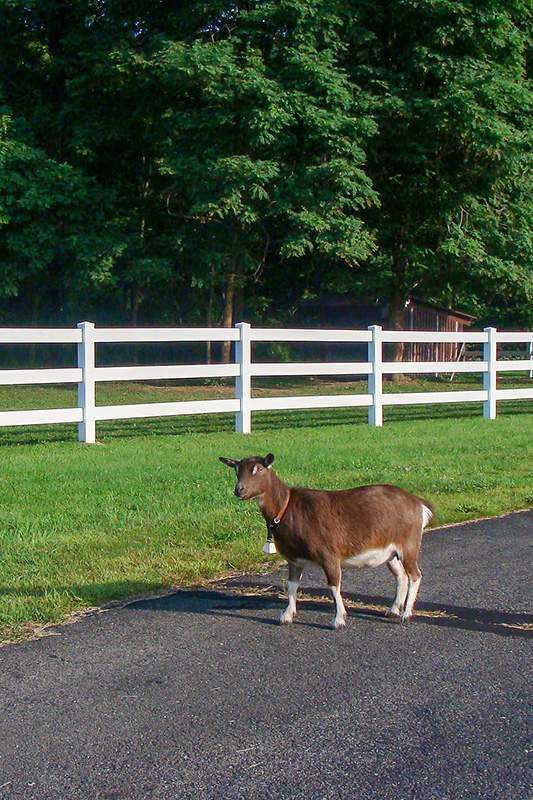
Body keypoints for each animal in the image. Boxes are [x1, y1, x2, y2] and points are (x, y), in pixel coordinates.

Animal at [220, 453, 434, 629]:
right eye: (236, 470)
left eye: (260, 469)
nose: (239, 490)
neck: (287, 508)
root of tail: (419, 504)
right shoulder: (294, 559)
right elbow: (291, 585)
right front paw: (286, 616)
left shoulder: (329, 554)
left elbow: (333, 585)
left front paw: (338, 620)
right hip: (391, 552)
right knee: (401, 576)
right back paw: (393, 610)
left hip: (409, 544)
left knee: (415, 575)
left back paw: (406, 614)